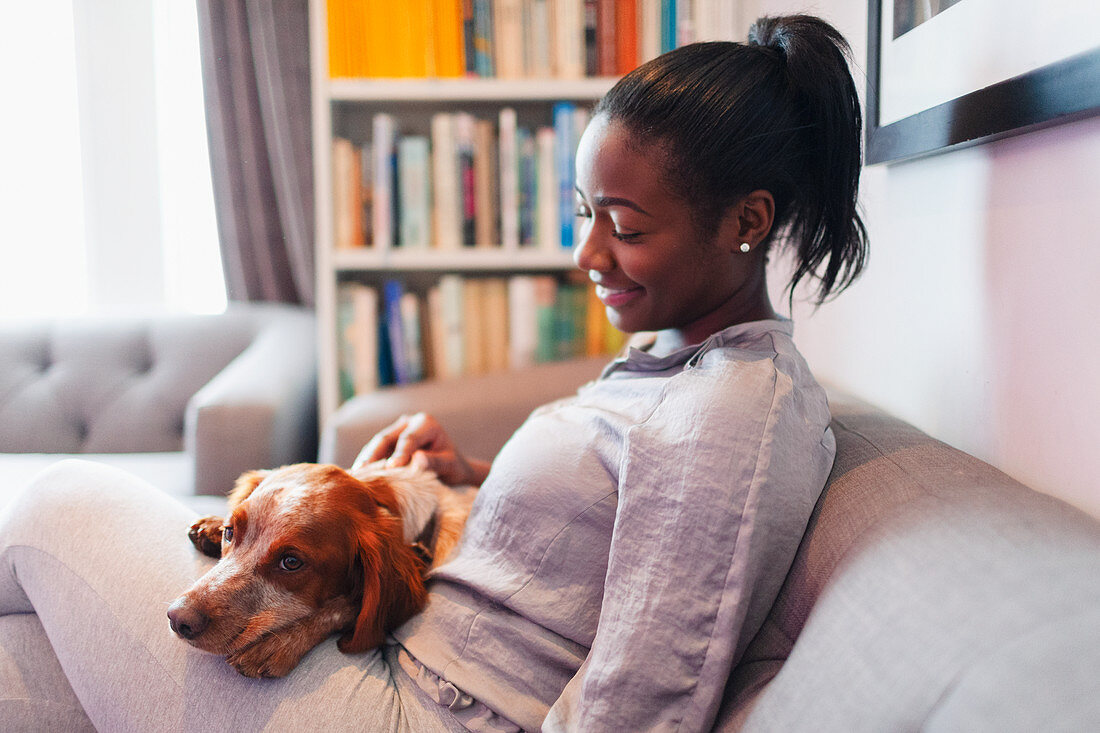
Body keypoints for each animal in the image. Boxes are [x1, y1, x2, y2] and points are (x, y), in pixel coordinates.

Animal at [166, 460, 473, 677]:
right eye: (231, 532)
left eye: (291, 562)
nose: (178, 619)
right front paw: (212, 527)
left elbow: (347, 606)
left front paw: (281, 642)